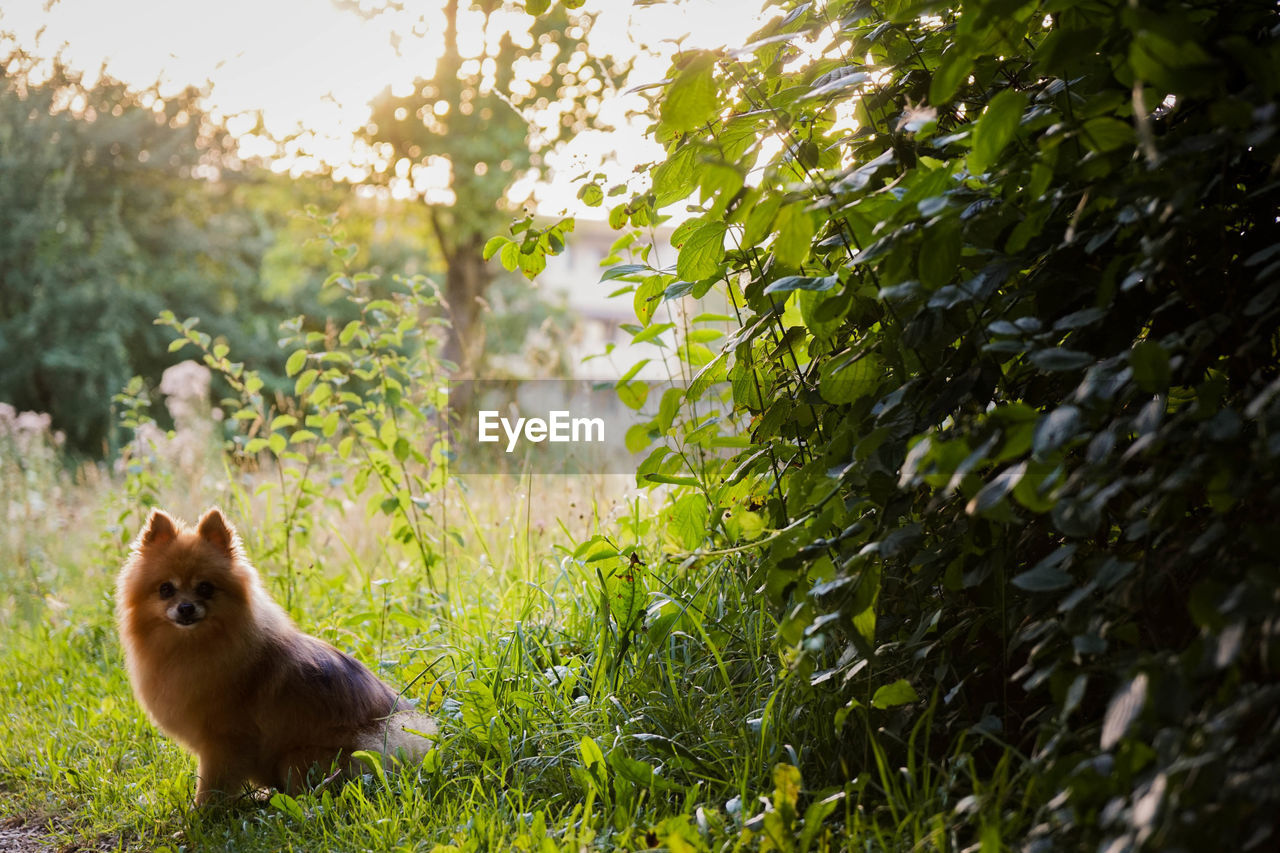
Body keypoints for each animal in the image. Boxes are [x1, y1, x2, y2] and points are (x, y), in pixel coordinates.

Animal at [113, 504, 430, 804]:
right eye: (166, 589)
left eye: (205, 588)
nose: (186, 607)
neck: (192, 648)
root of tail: (406, 745)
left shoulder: (223, 743)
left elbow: (211, 788)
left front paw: (200, 815)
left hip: (298, 759)